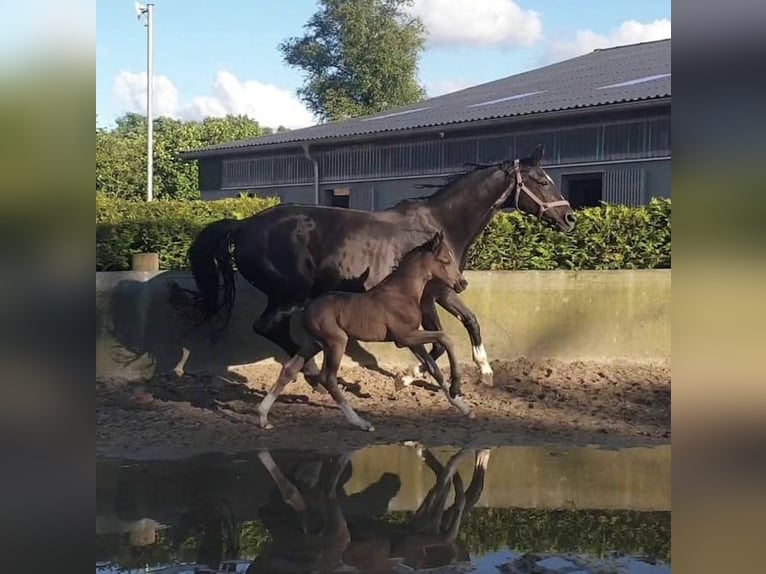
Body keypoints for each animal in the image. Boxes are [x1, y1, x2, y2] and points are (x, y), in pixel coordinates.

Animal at [182, 145, 576, 392]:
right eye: (542, 180)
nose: (570, 218)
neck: (440, 226)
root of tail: (243, 224)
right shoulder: (429, 297)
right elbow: (438, 340)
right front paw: (411, 377)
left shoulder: (443, 291)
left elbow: (469, 322)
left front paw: (484, 371)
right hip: (288, 294)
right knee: (267, 327)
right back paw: (314, 374)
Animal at [258, 230, 474, 432]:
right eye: (445, 260)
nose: (463, 284)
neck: (403, 293)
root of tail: (306, 307)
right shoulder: (404, 337)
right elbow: (445, 338)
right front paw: (456, 386)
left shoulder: (412, 340)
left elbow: (434, 368)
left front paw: (463, 407)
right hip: (336, 342)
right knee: (328, 378)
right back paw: (361, 422)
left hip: (314, 343)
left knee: (289, 369)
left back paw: (263, 417)